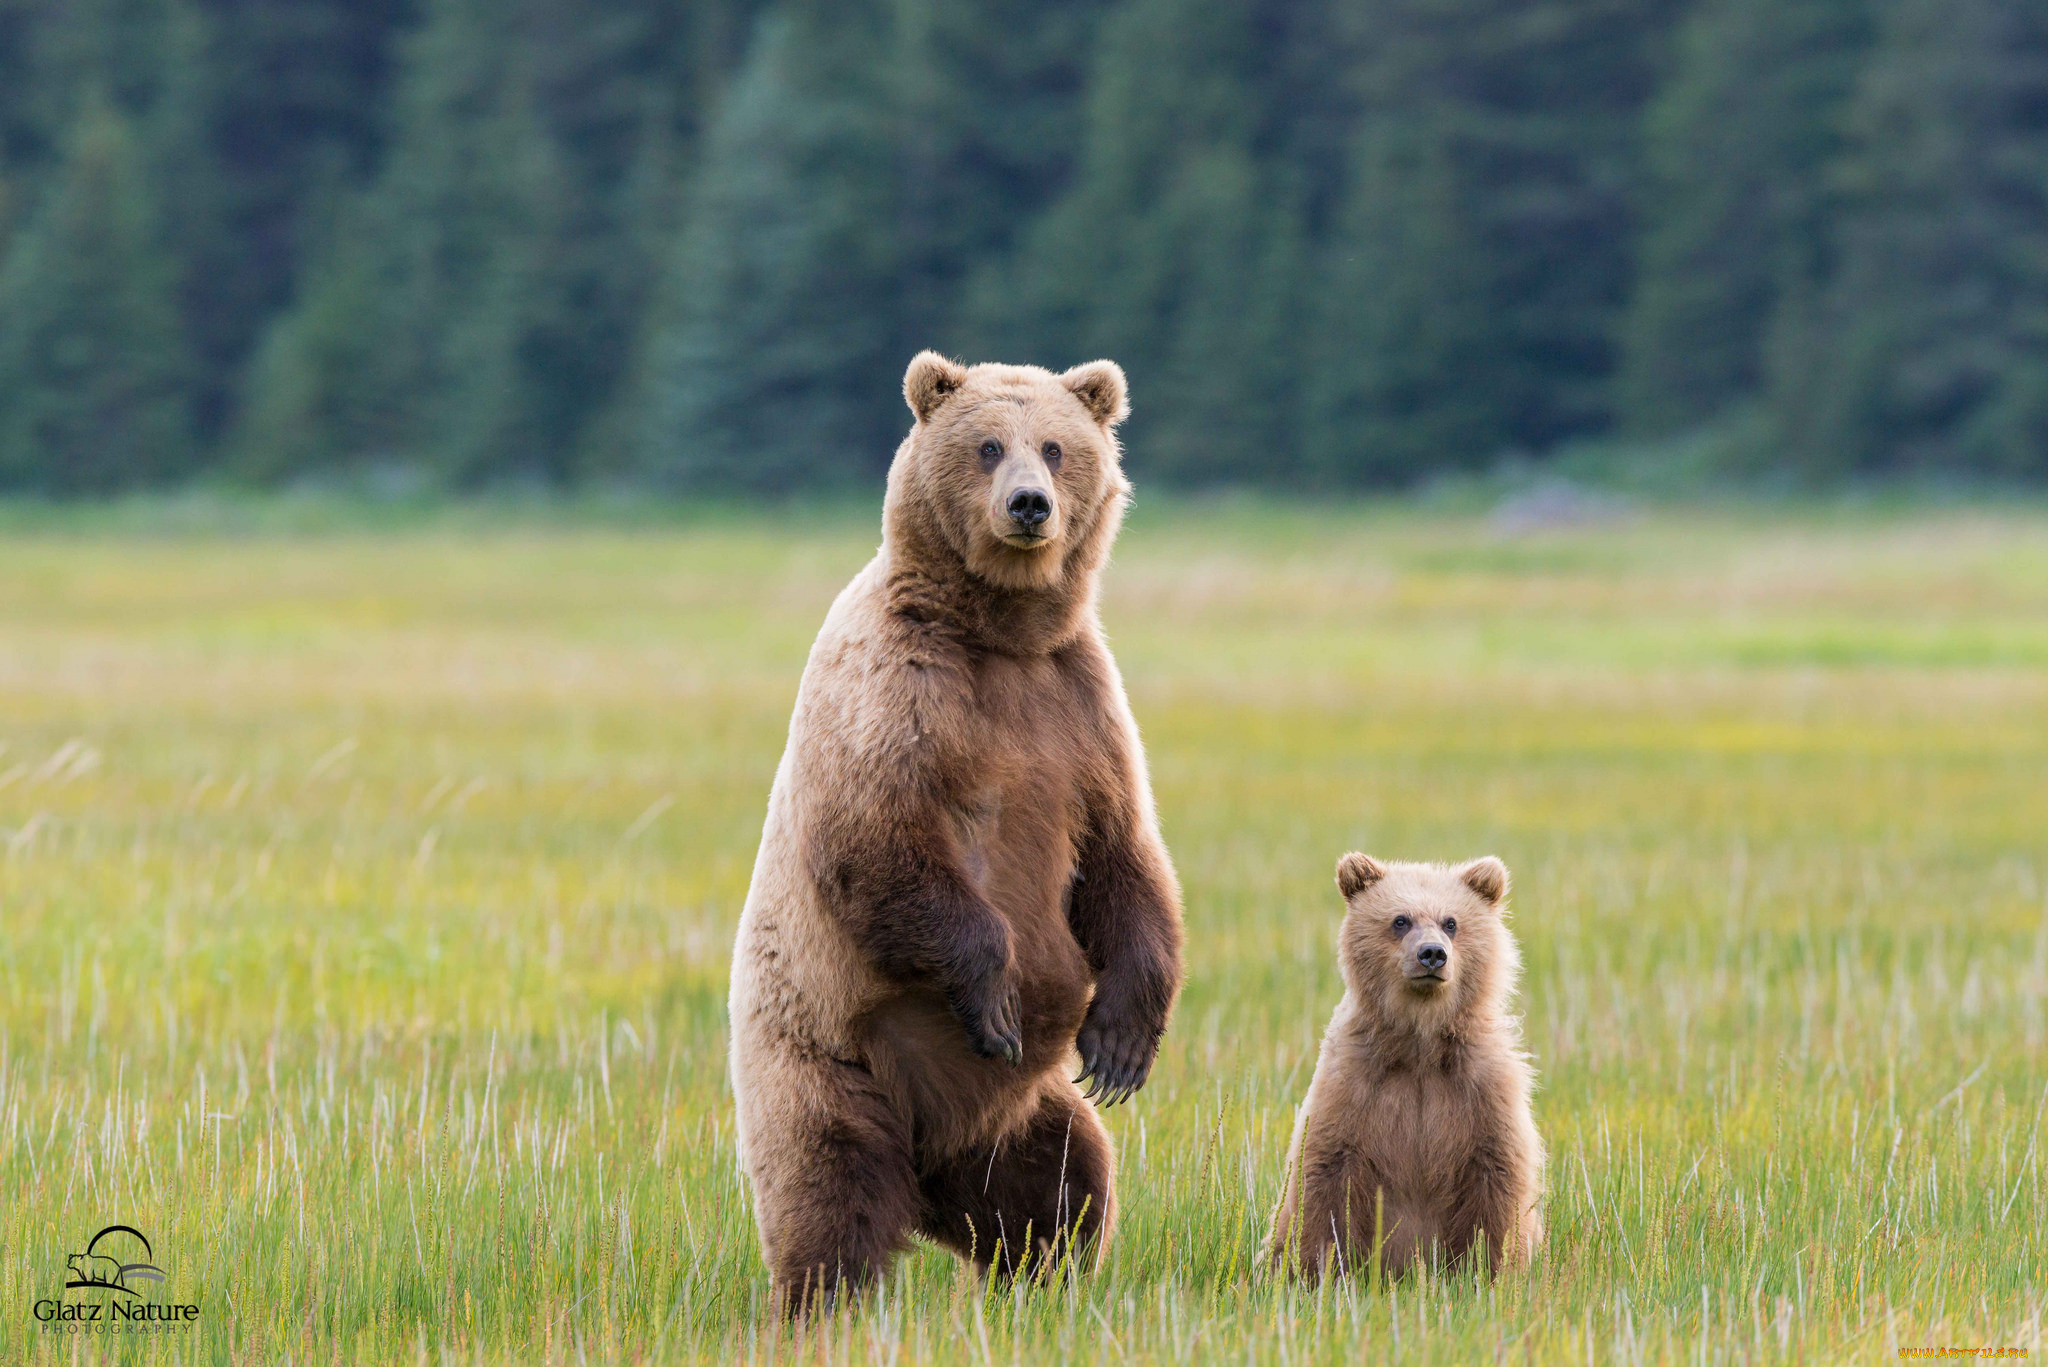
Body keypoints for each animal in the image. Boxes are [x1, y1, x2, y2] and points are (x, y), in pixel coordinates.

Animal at [733, 350, 1187, 1311]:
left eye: (1054, 446)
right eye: (986, 446)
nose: (1029, 506)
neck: (998, 635)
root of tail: (933, 1162)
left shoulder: (1078, 702)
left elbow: (1123, 854)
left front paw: (1122, 1046)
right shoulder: (897, 689)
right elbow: (880, 845)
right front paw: (996, 997)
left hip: (1020, 1118)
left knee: (1064, 1182)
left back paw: (1042, 1276)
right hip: (829, 1060)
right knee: (829, 1187)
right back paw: (826, 1299)